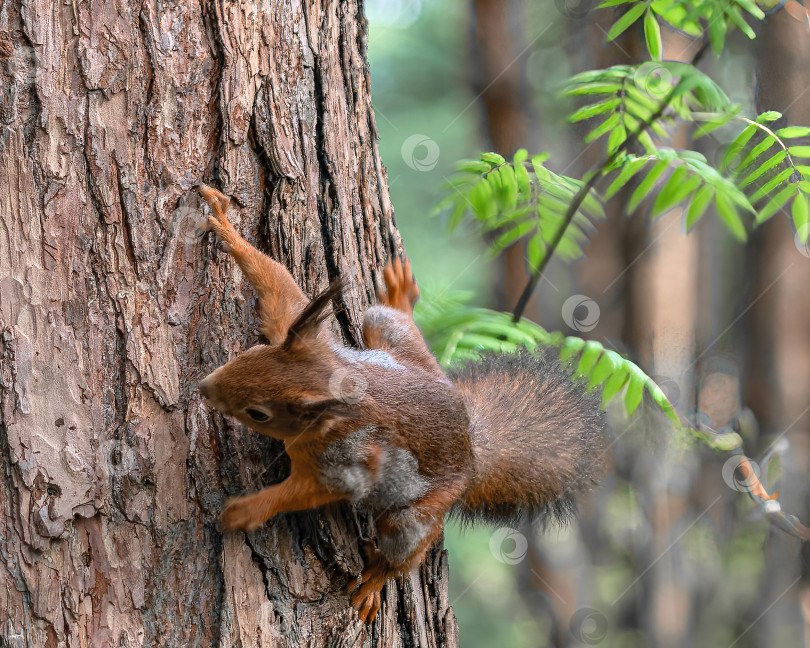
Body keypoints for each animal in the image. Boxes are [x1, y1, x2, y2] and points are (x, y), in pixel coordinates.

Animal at [193, 182, 604, 624]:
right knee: (389, 319)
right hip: (393, 338)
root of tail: (471, 451)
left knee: (406, 550)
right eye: (252, 354)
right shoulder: (297, 328)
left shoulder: (344, 465)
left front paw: (246, 511)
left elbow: (304, 492)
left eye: (259, 413)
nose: (204, 388)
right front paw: (224, 224)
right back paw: (400, 297)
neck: (334, 379)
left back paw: (376, 579)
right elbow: (277, 286)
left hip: (416, 513)